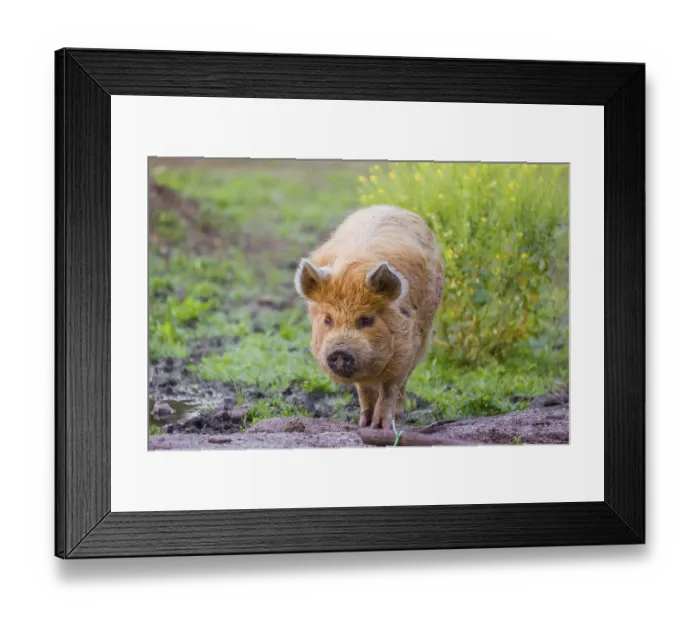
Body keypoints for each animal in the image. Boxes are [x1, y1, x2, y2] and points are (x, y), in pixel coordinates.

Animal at [294, 204, 444, 431]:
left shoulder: (405, 347)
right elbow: (364, 390)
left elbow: (390, 387)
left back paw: (398, 417)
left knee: (403, 383)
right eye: (328, 320)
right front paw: (363, 425)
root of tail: (390, 207)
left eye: (366, 320)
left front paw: (380, 427)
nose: (340, 350)